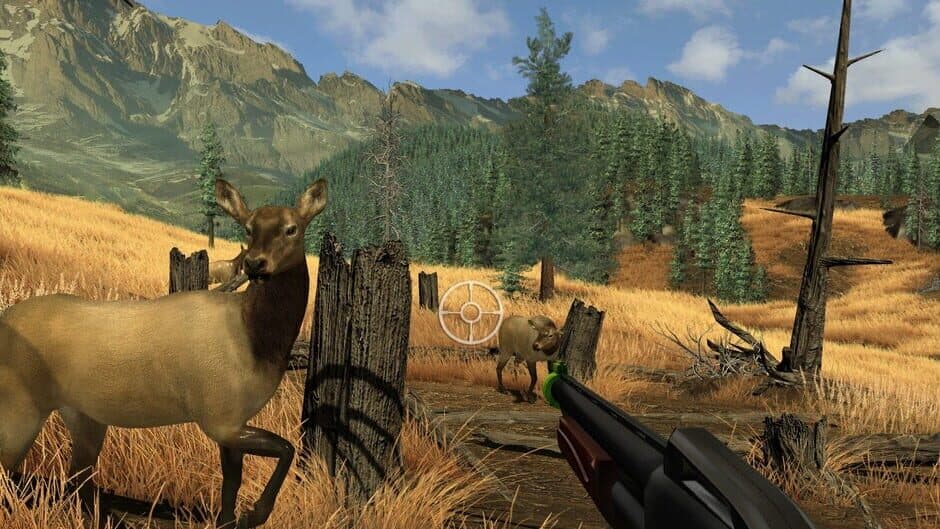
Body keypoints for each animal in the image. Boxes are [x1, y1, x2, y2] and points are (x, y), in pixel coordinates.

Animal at [0, 177, 327, 529]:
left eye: (292, 228)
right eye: (249, 227)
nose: (255, 263)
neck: (255, 340)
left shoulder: (232, 419)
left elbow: (231, 485)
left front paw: (234, 519)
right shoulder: (218, 415)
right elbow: (286, 447)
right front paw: (255, 514)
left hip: (81, 413)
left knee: (78, 478)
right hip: (19, 406)